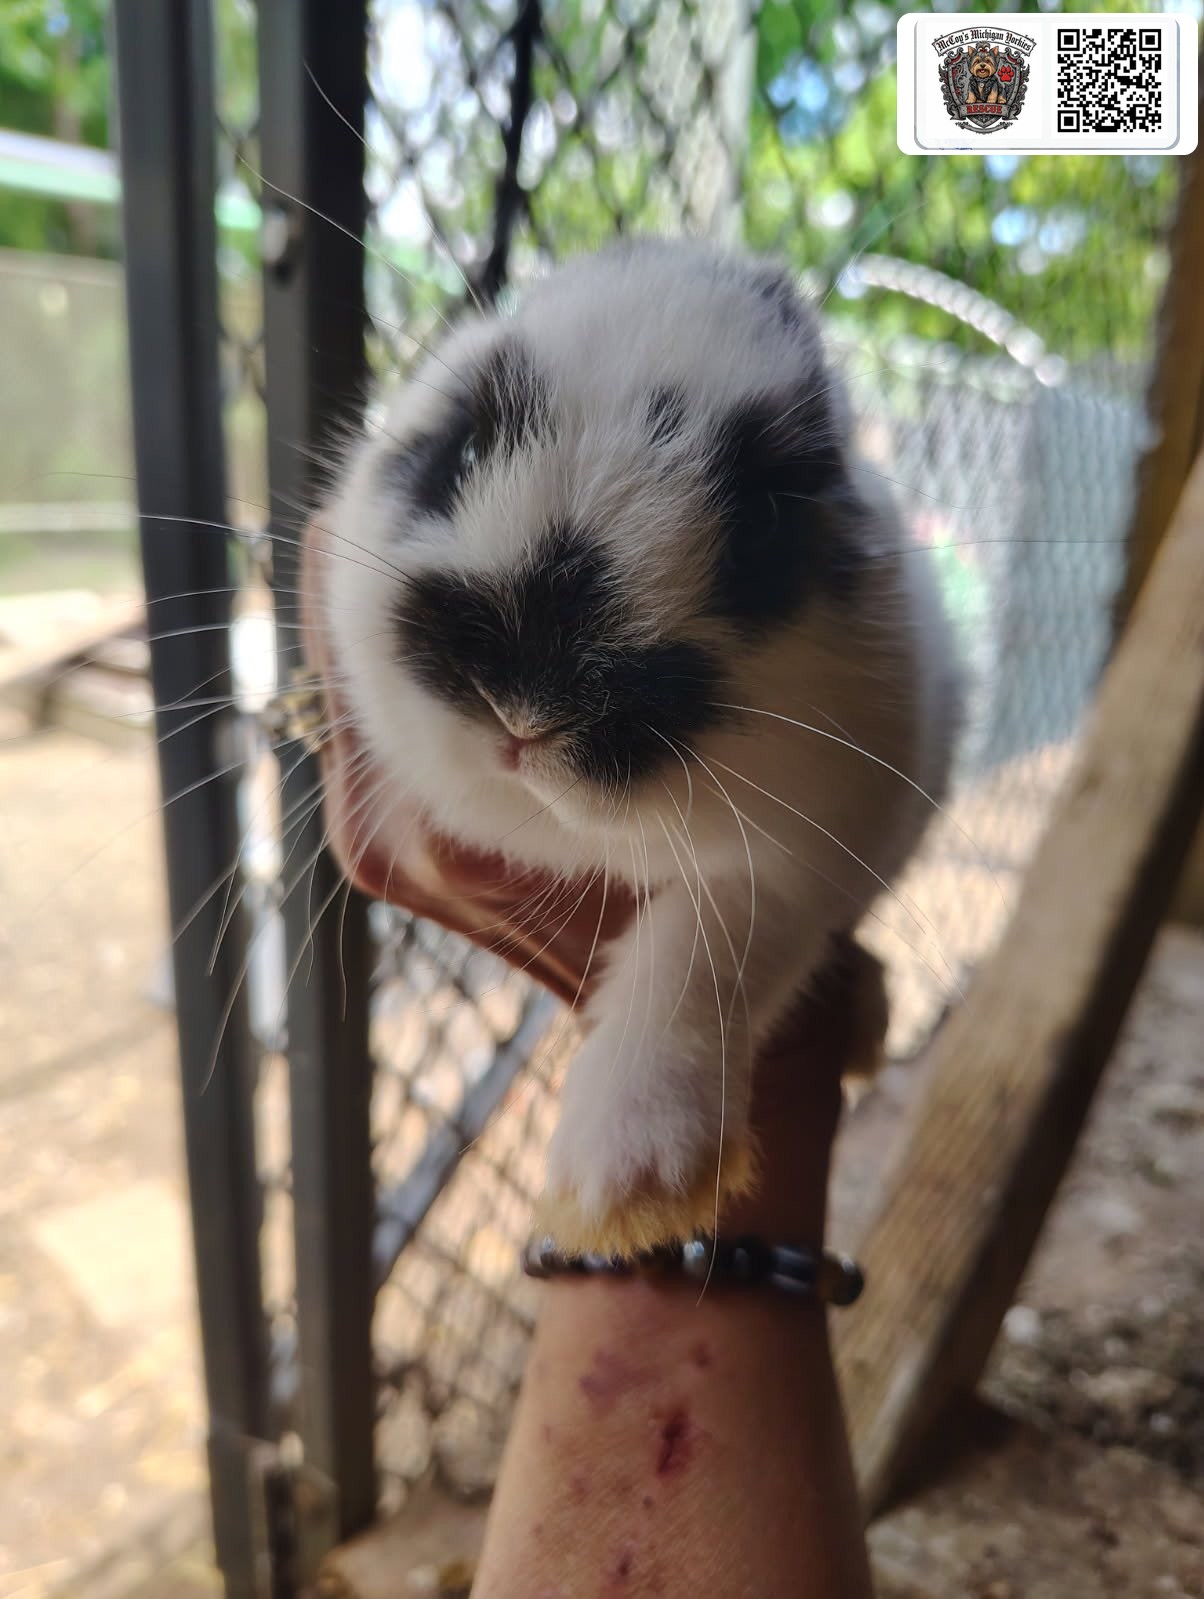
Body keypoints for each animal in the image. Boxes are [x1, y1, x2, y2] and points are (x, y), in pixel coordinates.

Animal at [318, 236, 962, 1253]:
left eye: (764, 527)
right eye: (464, 448)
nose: (524, 706)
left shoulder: (803, 858)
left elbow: (701, 953)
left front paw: (628, 1188)